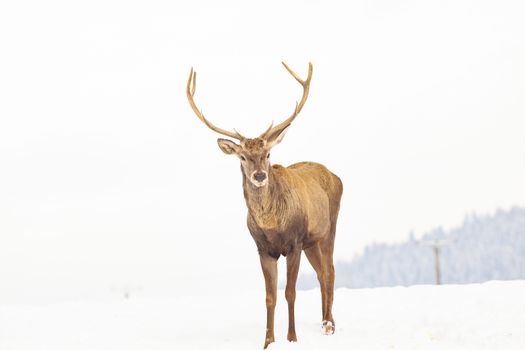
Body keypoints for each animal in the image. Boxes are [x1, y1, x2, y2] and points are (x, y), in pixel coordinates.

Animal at [185, 62, 344, 348]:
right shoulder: (263, 249)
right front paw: (268, 340)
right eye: (243, 157)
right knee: (321, 274)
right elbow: (270, 297)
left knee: (330, 271)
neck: (272, 226)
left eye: (268, 154)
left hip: (330, 228)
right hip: (311, 241)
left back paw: (330, 324)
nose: (259, 175)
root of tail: (335, 175)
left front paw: (292, 338)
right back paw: (324, 321)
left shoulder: (293, 243)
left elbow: (290, 292)